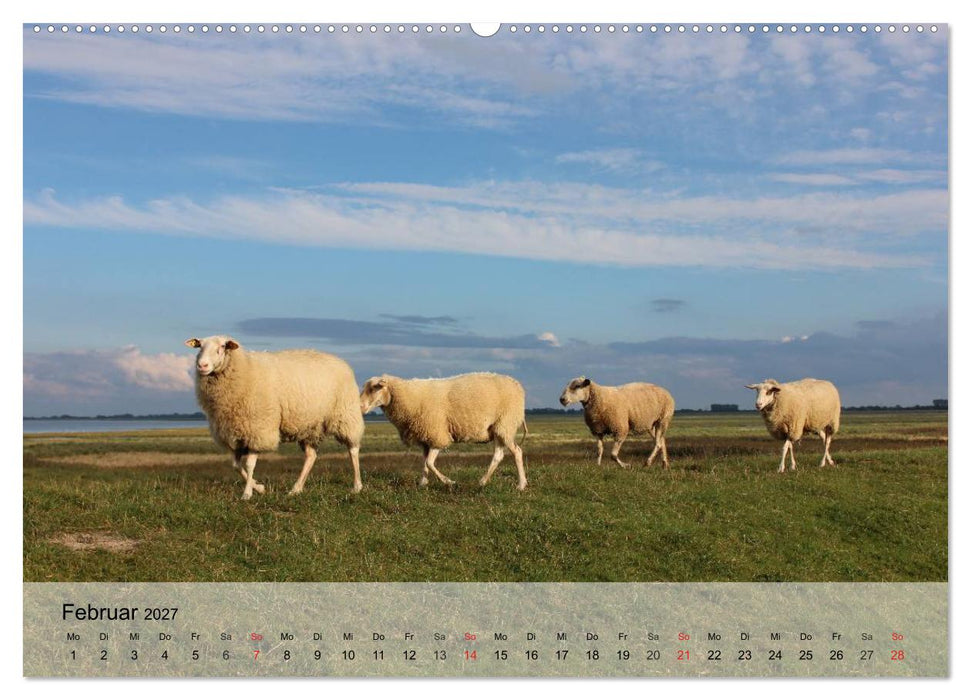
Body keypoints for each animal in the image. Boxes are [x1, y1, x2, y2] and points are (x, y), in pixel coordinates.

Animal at [184, 335, 365, 499]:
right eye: (199, 346)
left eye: (222, 347)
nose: (202, 365)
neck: (244, 369)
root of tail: (340, 361)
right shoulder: (235, 434)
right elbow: (236, 465)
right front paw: (259, 488)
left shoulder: (257, 429)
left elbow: (249, 465)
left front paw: (247, 493)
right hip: (309, 426)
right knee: (311, 456)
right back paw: (296, 489)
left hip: (346, 415)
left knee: (353, 450)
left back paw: (357, 486)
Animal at [359, 372, 528, 490]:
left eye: (374, 388)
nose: (360, 407)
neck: (410, 398)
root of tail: (517, 385)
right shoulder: (425, 438)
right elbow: (424, 462)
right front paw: (423, 483)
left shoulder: (437, 435)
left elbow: (429, 463)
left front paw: (449, 482)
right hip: (499, 429)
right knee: (498, 455)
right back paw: (483, 481)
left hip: (505, 424)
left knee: (517, 451)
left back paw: (521, 484)